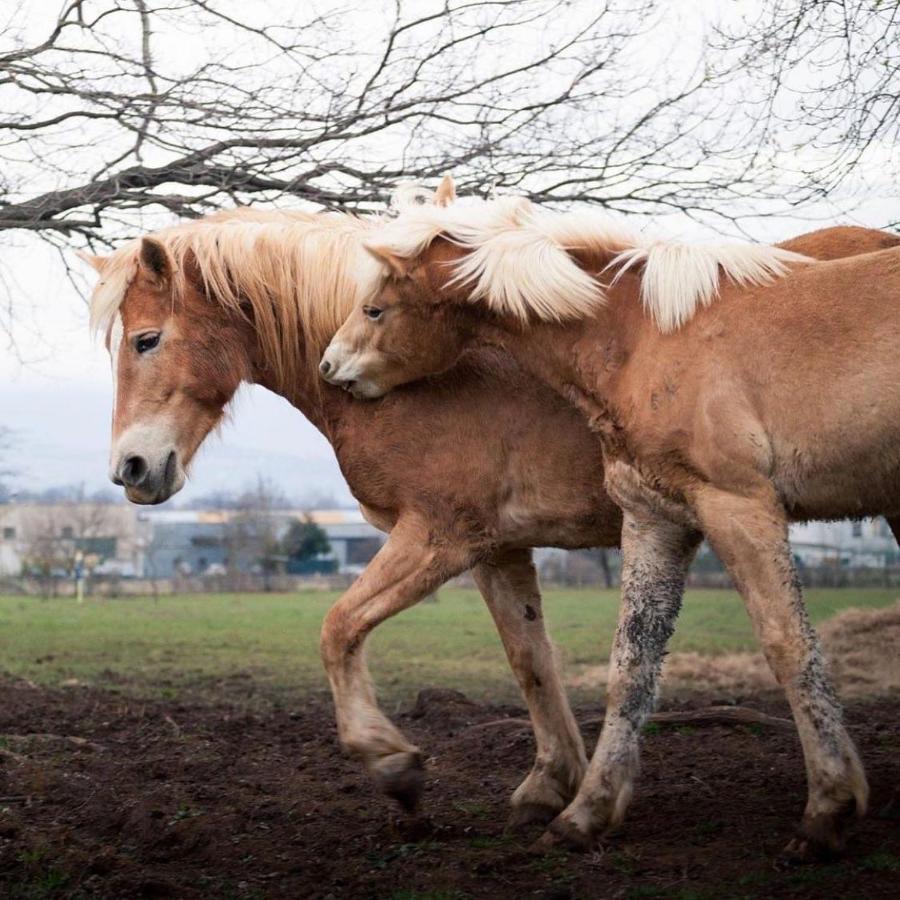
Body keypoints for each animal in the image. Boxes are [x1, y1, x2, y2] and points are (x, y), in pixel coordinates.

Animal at [322, 188, 900, 856]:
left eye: (375, 308)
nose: (330, 366)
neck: (644, 336)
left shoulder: (739, 504)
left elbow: (789, 646)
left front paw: (829, 808)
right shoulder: (657, 518)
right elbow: (631, 666)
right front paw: (586, 813)